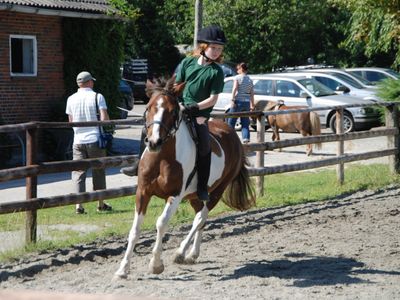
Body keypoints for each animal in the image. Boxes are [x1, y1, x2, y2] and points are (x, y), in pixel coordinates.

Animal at [114, 78, 255, 278]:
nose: (154, 142)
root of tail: (232, 135)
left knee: (201, 217)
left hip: (216, 191)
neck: (162, 157)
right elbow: (135, 230)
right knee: (200, 217)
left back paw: (181, 253)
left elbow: (161, 223)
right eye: (148, 108)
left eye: (173, 111)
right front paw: (122, 270)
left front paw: (156, 265)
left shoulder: (175, 195)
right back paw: (192, 254)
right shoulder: (143, 192)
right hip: (194, 196)